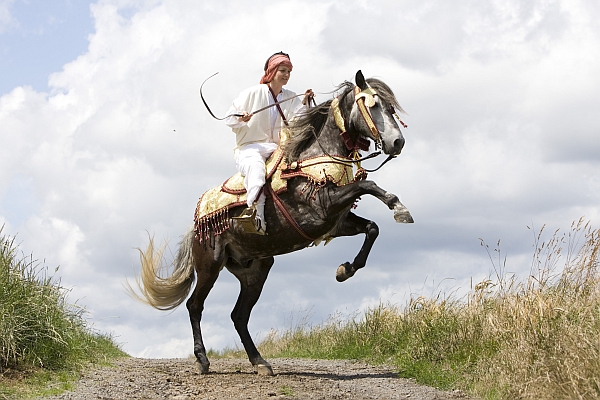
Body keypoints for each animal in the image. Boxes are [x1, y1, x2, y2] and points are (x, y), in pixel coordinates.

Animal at [129, 71, 414, 376]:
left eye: (391, 107)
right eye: (372, 105)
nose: (398, 143)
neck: (312, 158)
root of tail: (196, 224)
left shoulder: (336, 224)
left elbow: (372, 227)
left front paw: (345, 270)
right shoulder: (323, 209)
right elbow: (368, 185)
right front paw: (399, 207)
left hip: (256, 270)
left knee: (239, 315)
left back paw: (259, 362)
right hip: (209, 265)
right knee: (195, 306)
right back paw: (202, 360)